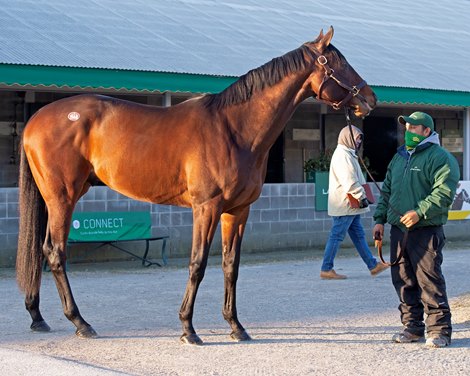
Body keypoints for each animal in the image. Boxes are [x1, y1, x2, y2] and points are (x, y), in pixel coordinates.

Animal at [16, 25, 376, 346]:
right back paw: (80, 322)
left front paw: (236, 326)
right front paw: (188, 329)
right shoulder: (206, 208)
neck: (234, 129)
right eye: (338, 63)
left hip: (54, 199)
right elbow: (198, 264)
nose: (370, 99)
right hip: (62, 198)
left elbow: (231, 266)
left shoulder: (238, 211)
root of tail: (35, 119)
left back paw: (38, 317)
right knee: (56, 253)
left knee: (42, 250)